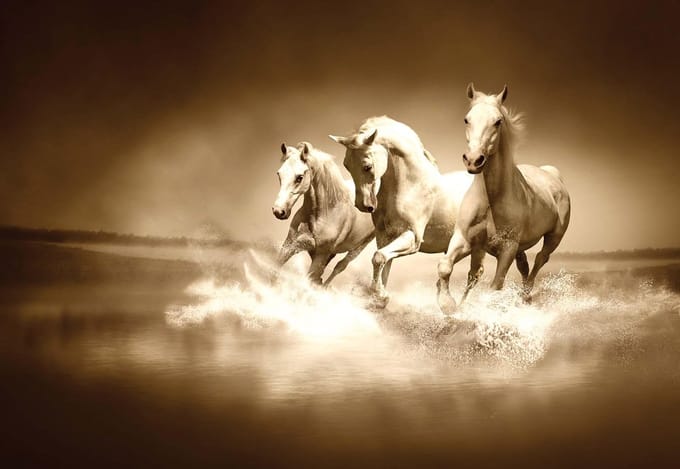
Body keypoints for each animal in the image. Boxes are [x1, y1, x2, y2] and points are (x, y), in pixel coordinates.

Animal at [272, 141, 375, 285]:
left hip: (360, 246)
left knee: (340, 266)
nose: (278, 211)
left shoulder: (320, 255)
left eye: (299, 177)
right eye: (279, 174)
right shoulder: (290, 245)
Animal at [329, 116, 476, 307]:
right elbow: (383, 263)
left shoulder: (412, 238)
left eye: (367, 166)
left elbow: (378, 258)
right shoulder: (385, 238)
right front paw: (380, 298)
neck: (412, 186)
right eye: (346, 165)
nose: (363, 205)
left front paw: (380, 295)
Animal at [437, 84, 571, 314]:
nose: (473, 160)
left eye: (498, 121)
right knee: (521, 265)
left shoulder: (507, 248)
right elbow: (446, 266)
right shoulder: (465, 239)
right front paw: (449, 305)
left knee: (540, 260)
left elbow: (495, 286)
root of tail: (552, 174)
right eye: (466, 119)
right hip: (517, 247)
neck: (491, 200)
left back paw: (526, 297)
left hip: (554, 237)